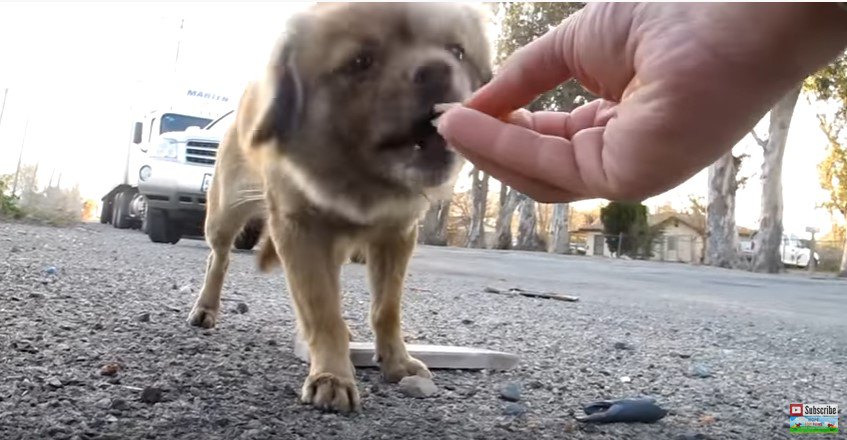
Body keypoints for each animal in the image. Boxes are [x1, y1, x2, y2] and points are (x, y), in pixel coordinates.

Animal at [186, 1, 490, 412]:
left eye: (457, 51)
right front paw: (332, 374)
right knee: (218, 259)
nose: (437, 70)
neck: (356, 178)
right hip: (223, 215)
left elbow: (385, 308)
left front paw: (395, 360)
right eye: (360, 61)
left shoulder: (395, 235)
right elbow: (323, 310)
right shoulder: (300, 231)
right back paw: (206, 307)